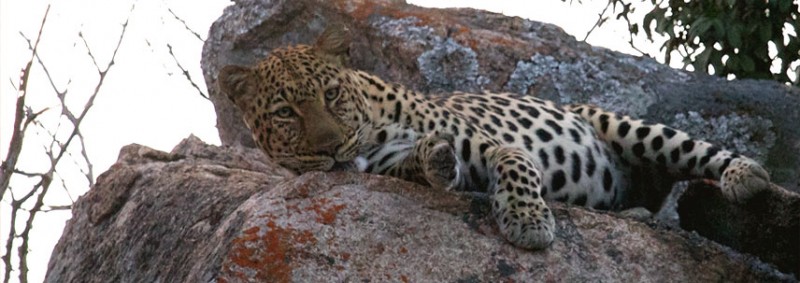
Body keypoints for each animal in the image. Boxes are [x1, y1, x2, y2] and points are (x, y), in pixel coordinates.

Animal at [216, 26, 772, 248]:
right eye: (285, 113)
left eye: (330, 94)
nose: (330, 148)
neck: (373, 125)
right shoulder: (388, 164)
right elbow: (422, 163)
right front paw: (436, 159)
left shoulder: (492, 142)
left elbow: (516, 165)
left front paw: (528, 222)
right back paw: (634, 212)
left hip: (627, 126)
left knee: (696, 151)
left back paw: (746, 176)